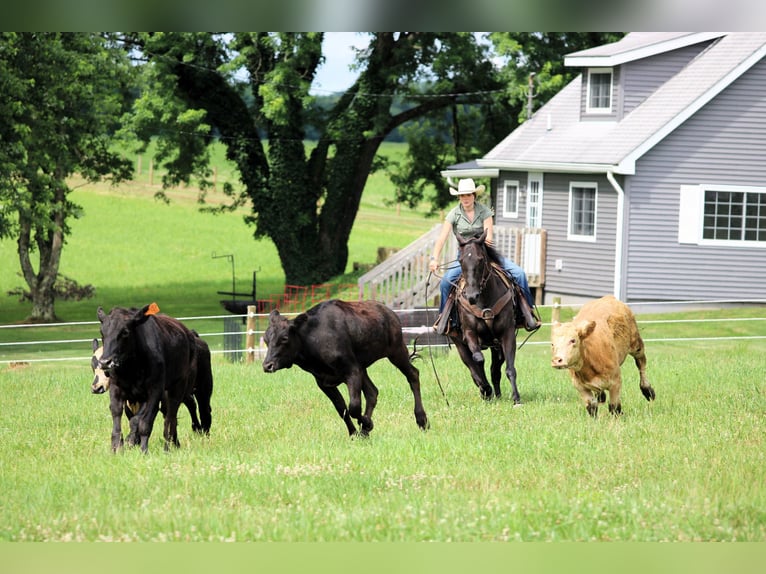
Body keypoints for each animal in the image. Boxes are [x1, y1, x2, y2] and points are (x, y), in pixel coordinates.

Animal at [448, 229, 522, 404]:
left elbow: (510, 368)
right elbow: (478, 360)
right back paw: (485, 389)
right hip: (459, 344)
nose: (471, 295)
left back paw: (497, 394)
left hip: (496, 346)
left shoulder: (507, 334)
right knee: (472, 365)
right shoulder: (470, 333)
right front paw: (485, 389)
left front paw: (516, 398)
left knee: (495, 370)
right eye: (460, 260)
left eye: (480, 259)